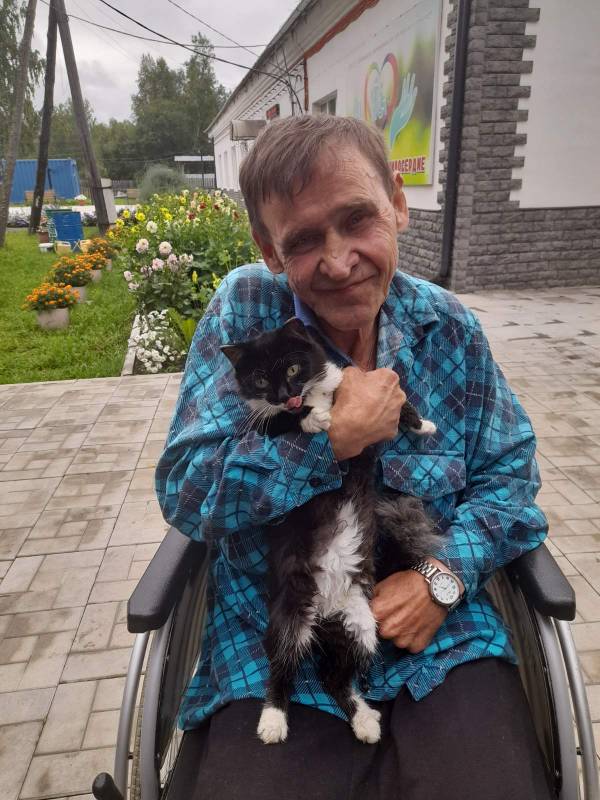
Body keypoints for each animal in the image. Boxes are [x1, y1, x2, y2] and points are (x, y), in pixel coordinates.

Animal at [221, 317, 443, 745]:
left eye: (293, 368)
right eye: (259, 379)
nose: (284, 395)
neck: (316, 391)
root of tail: (325, 608)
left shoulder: (346, 384)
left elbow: (400, 401)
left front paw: (422, 424)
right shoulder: (263, 429)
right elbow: (281, 421)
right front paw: (313, 418)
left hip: (360, 625)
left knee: (332, 676)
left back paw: (364, 721)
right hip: (291, 614)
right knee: (282, 666)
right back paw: (273, 720)